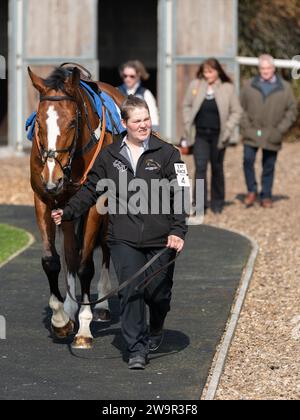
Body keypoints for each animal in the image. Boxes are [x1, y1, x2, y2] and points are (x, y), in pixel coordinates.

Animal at [29, 65, 124, 348]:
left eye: (72, 122)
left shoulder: (97, 205)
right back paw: (70, 308)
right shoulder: (44, 200)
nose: (53, 178)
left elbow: (85, 266)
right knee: (71, 252)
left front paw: (84, 326)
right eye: (39, 123)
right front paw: (61, 318)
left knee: (103, 248)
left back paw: (100, 305)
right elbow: (53, 260)